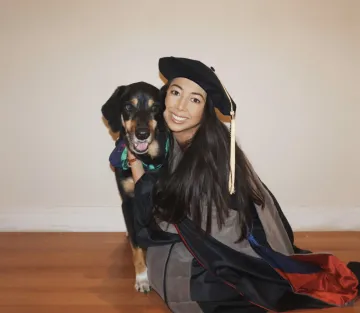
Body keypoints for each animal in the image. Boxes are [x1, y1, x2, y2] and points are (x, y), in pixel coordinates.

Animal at [101, 81, 169, 292]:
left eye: (155, 108)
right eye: (128, 107)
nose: (142, 134)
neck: (145, 160)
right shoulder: (128, 201)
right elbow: (136, 244)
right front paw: (142, 277)